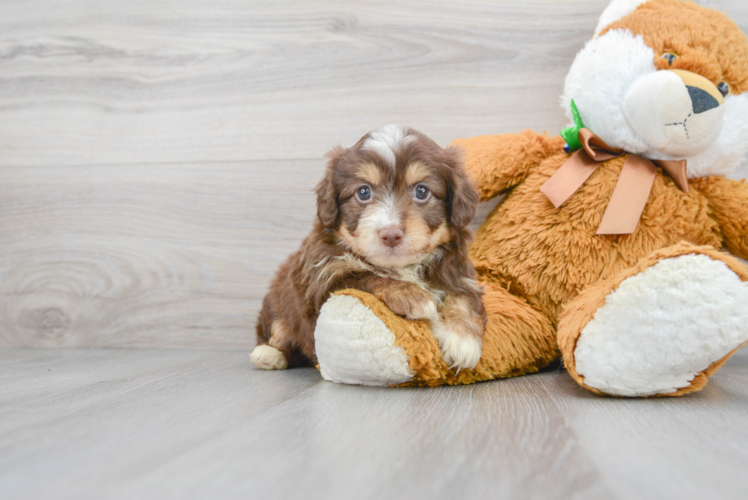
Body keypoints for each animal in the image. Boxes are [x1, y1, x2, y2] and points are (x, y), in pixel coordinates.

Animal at [251, 124, 486, 372]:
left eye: (422, 191)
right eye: (363, 192)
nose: (390, 234)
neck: (402, 267)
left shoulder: (459, 274)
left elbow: (464, 298)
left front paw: (463, 340)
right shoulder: (323, 281)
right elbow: (366, 277)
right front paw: (411, 295)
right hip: (276, 303)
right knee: (278, 333)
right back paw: (268, 354)